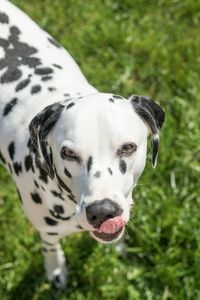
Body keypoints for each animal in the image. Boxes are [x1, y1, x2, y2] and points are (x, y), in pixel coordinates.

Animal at [0, 0, 164, 288]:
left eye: (128, 147)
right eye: (68, 153)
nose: (103, 211)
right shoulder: (46, 229)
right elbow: (50, 246)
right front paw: (55, 267)